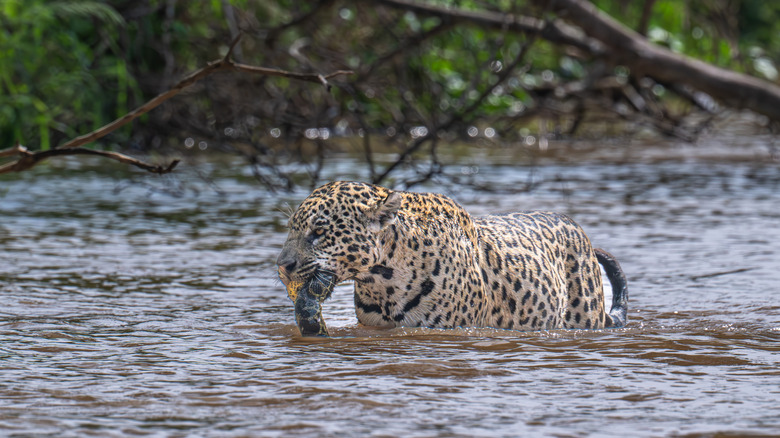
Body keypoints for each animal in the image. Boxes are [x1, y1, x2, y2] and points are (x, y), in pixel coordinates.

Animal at [276, 181, 628, 336]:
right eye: (291, 228)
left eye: (318, 232)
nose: (283, 265)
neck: (382, 280)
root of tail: (575, 225)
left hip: (585, 318)